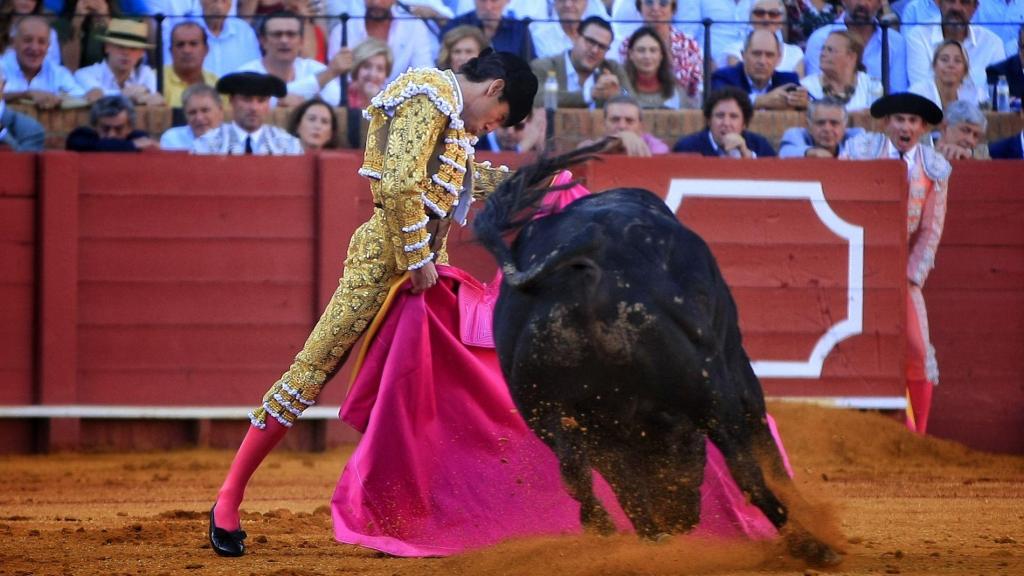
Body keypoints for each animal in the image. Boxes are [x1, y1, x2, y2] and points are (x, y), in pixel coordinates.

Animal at [471, 152, 839, 565]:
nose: (680, 521)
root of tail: (581, 269)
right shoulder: (734, 363)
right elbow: (763, 439)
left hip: (550, 413)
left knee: (583, 477)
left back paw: (628, 535)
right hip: (708, 391)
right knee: (745, 470)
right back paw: (812, 546)